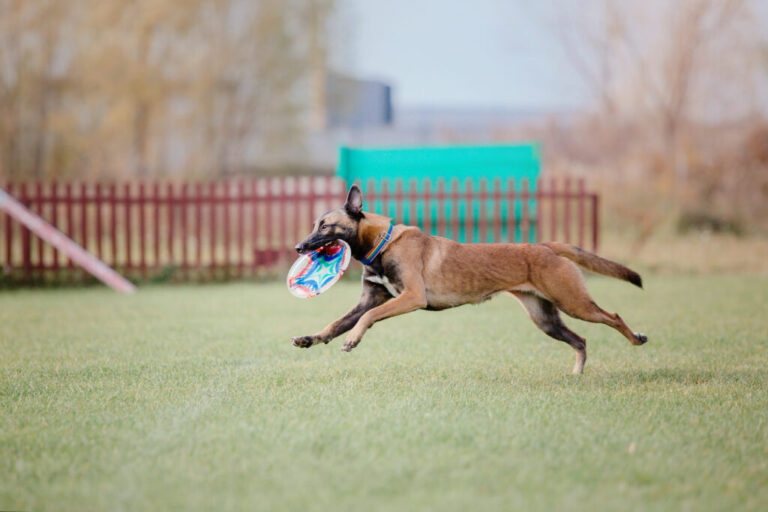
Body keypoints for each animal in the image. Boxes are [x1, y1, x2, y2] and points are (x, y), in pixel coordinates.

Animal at [292, 184, 644, 372]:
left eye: (325, 226)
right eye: (314, 224)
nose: (298, 247)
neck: (381, 243)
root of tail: (544, 246)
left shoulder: (411, 297)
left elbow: (369, 317)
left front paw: (353, 339)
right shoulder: (370, 299)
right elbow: (337, 323)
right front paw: (311, 338)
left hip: (574, 303)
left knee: (612, 316)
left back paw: (636, 338)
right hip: (546, 319)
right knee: (580, 340)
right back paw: (577, 373)